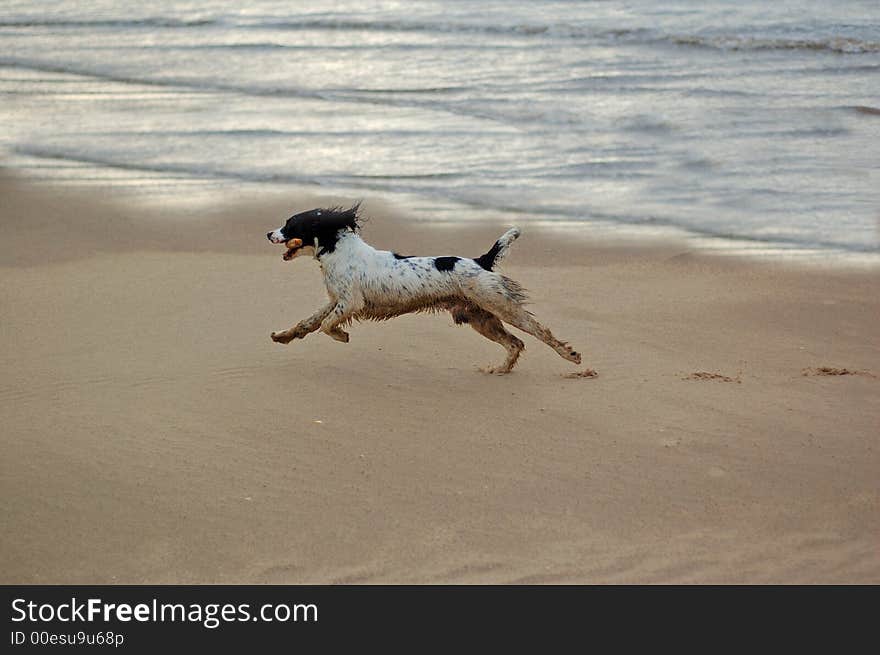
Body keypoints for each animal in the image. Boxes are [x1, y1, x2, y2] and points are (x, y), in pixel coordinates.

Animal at [268, 205, 584, 374]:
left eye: (290, 225)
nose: (268, 233)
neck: (338, 248)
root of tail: (481, 261)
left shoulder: (351, 302)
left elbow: (326, 326)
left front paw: (342, 335)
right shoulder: (335, 300)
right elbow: (308, 322)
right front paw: (284, 336)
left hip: (500, 305)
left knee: (540, 331)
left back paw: (570, 355)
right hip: (480, 318)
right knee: (516, 343)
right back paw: (499, 370)